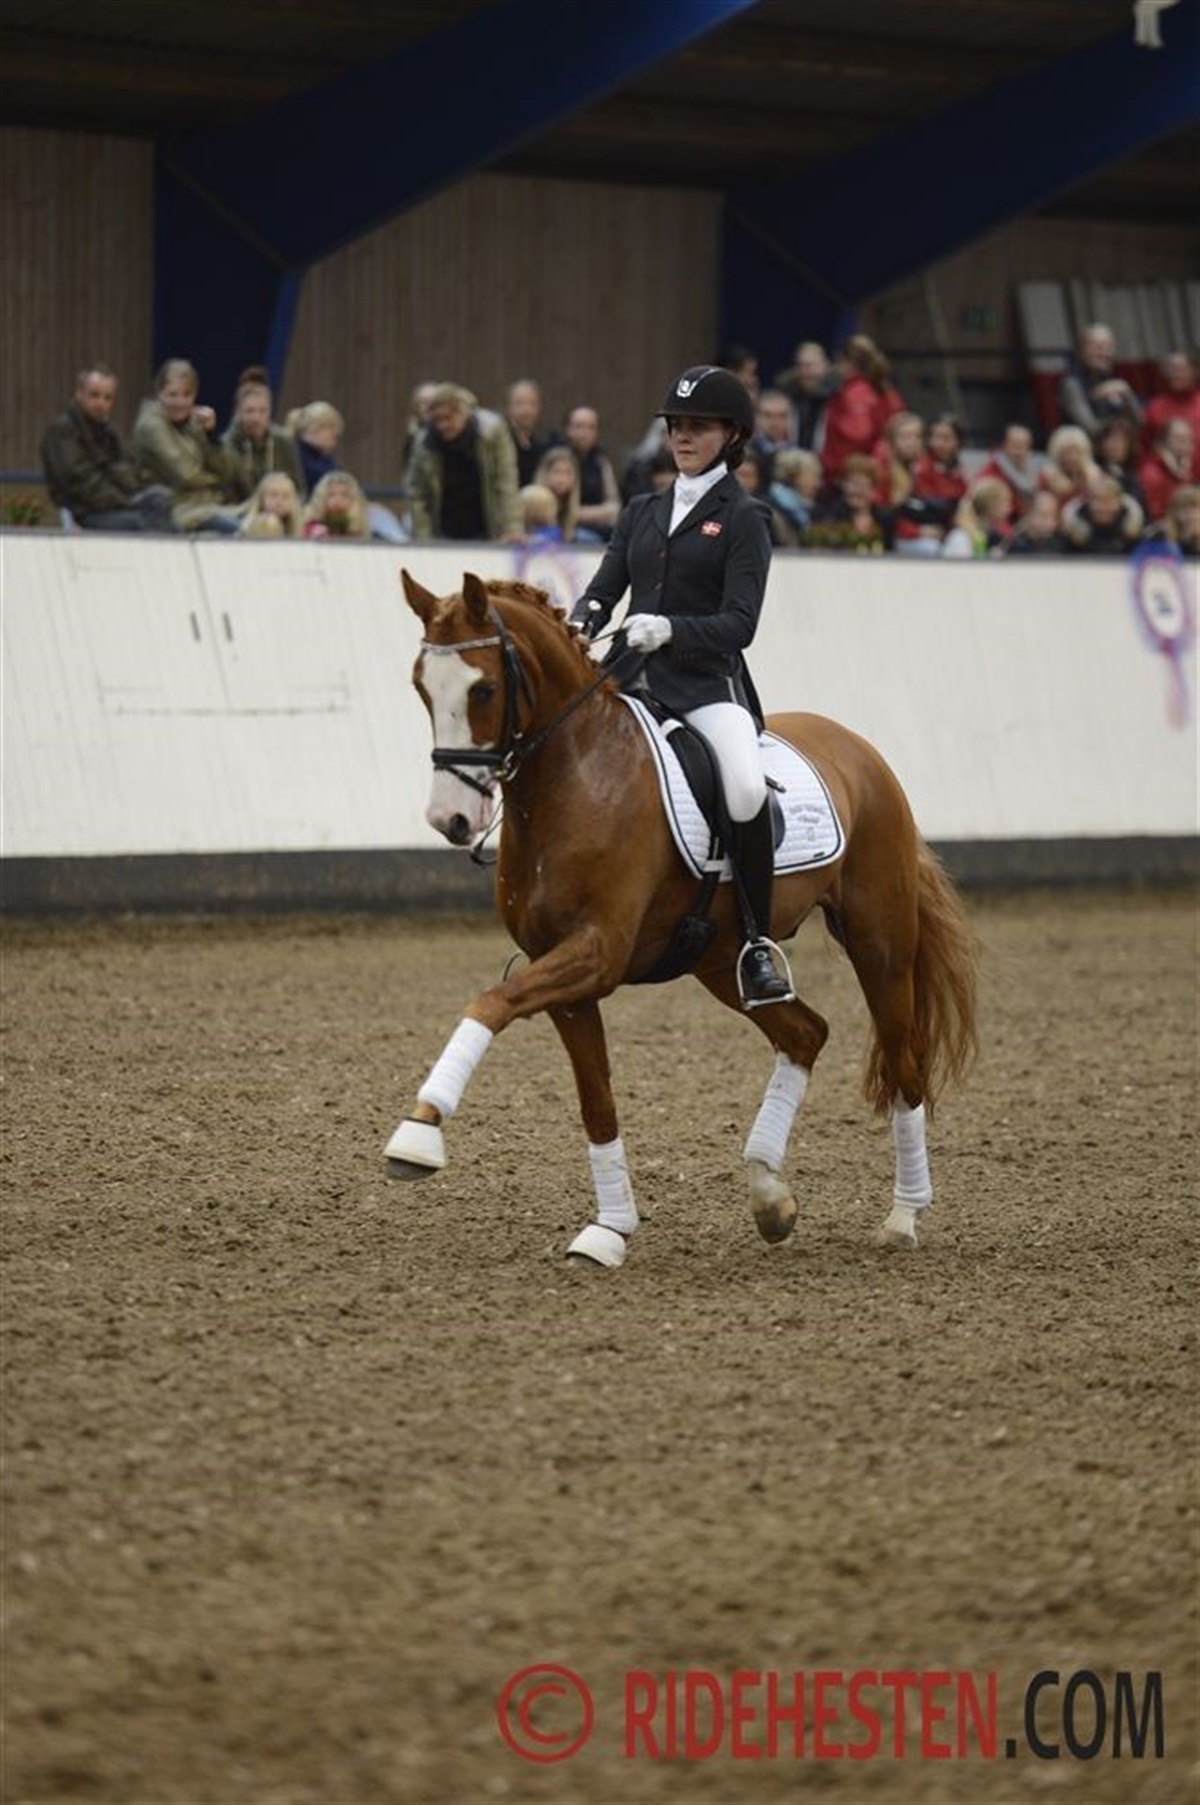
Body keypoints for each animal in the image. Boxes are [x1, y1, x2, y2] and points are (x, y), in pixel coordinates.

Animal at [385, 570, 978, 1268]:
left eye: (482, 688)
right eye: (421, 684)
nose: (449, 820)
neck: (575, 779)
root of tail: (858, 748)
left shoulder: (597, 953)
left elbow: (488, 1003)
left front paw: (417, 1134)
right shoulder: (565, 976)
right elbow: (596, 1101)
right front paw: (609, 1230)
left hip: (878, 941)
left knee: (904, 1062)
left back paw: (903, 1216)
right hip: (721, 963)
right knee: (806, 1034)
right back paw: (768, 1194)